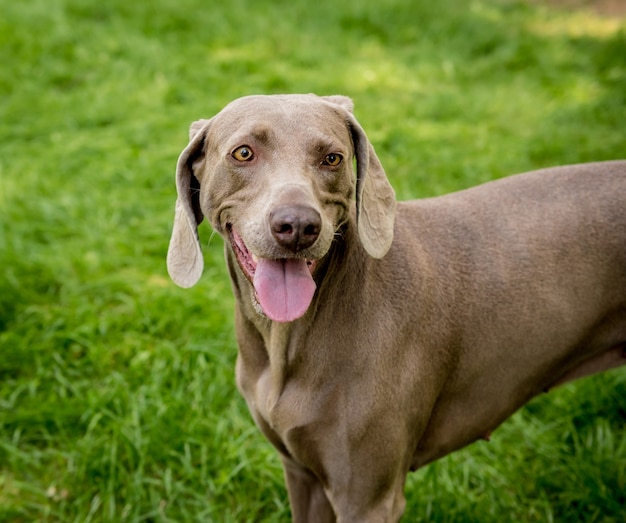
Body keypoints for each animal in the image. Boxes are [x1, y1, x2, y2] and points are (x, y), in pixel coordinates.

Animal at [166, 95, 624, 523]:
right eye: (244, 153)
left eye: (332, 158)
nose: (297, 226)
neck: (287, 341)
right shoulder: (301, 474)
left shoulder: (368, 499)